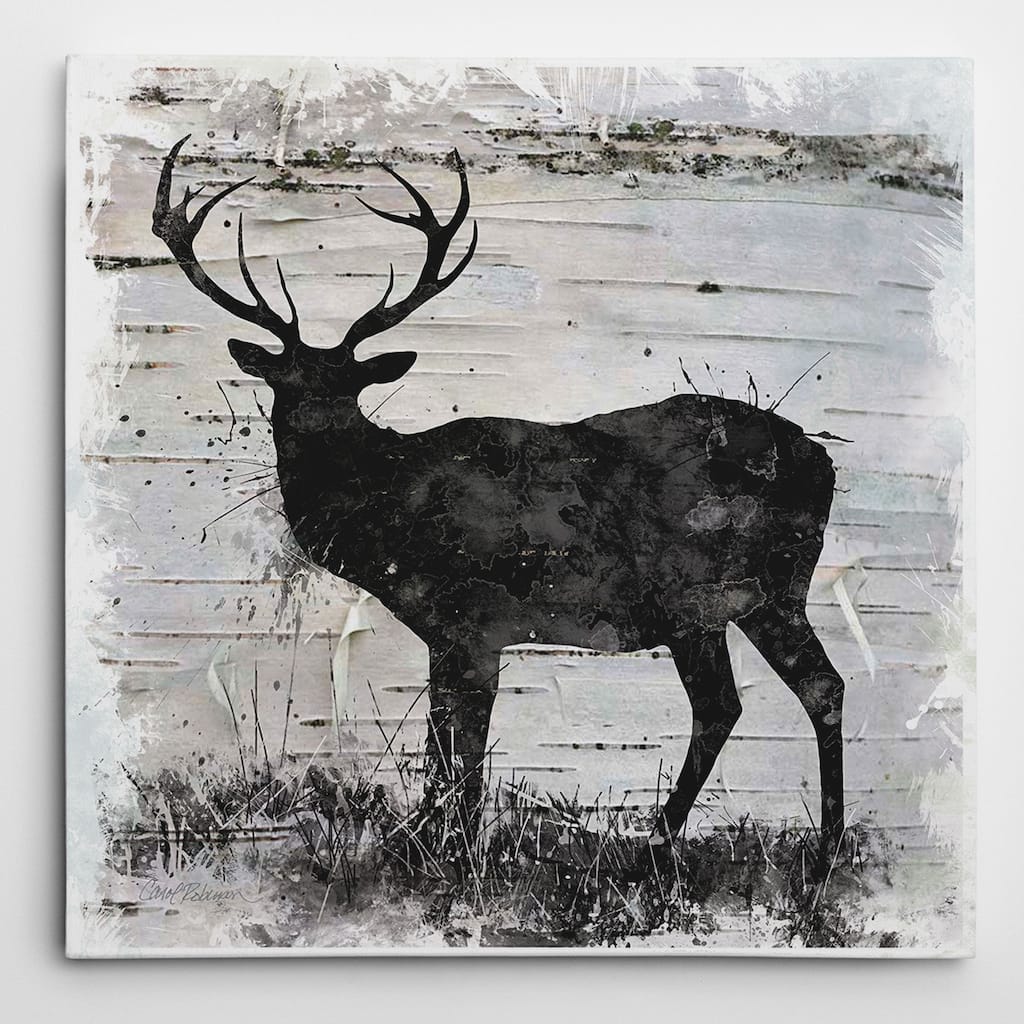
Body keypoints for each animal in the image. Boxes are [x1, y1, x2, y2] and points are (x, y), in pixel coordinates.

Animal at [152, 135, 846, 869]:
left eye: (348, 388)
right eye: (283, 385)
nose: (314, 434)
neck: (397, 519)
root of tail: (822, 459)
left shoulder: (476, 620)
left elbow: (463, 755)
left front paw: (450, 851)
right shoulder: (446, 631)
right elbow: (442, 743)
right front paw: (428, 840)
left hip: (722, 594)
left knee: (762, 697)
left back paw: (706, 843)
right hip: (741, 602)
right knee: (777, 695)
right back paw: (769, 844)